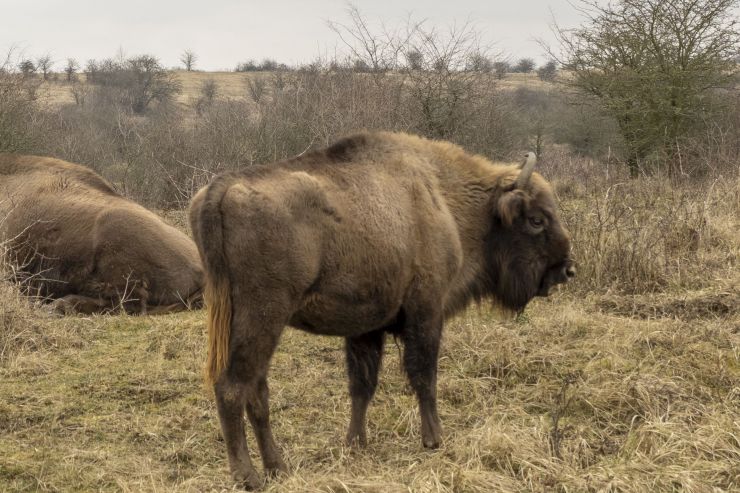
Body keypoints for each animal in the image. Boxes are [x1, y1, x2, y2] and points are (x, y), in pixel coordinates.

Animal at [189, 129, 572, 486]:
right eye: (536, 219)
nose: (566, 270)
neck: (443, 198)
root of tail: (220, 189)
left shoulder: (365, 328)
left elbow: (362, 385)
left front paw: (356, 443)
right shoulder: (426, 312)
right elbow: (424, 376)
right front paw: (434, 439)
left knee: (257, 392)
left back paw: (277, 467)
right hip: (262, 317)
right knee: (232, 388)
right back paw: (248, 476)